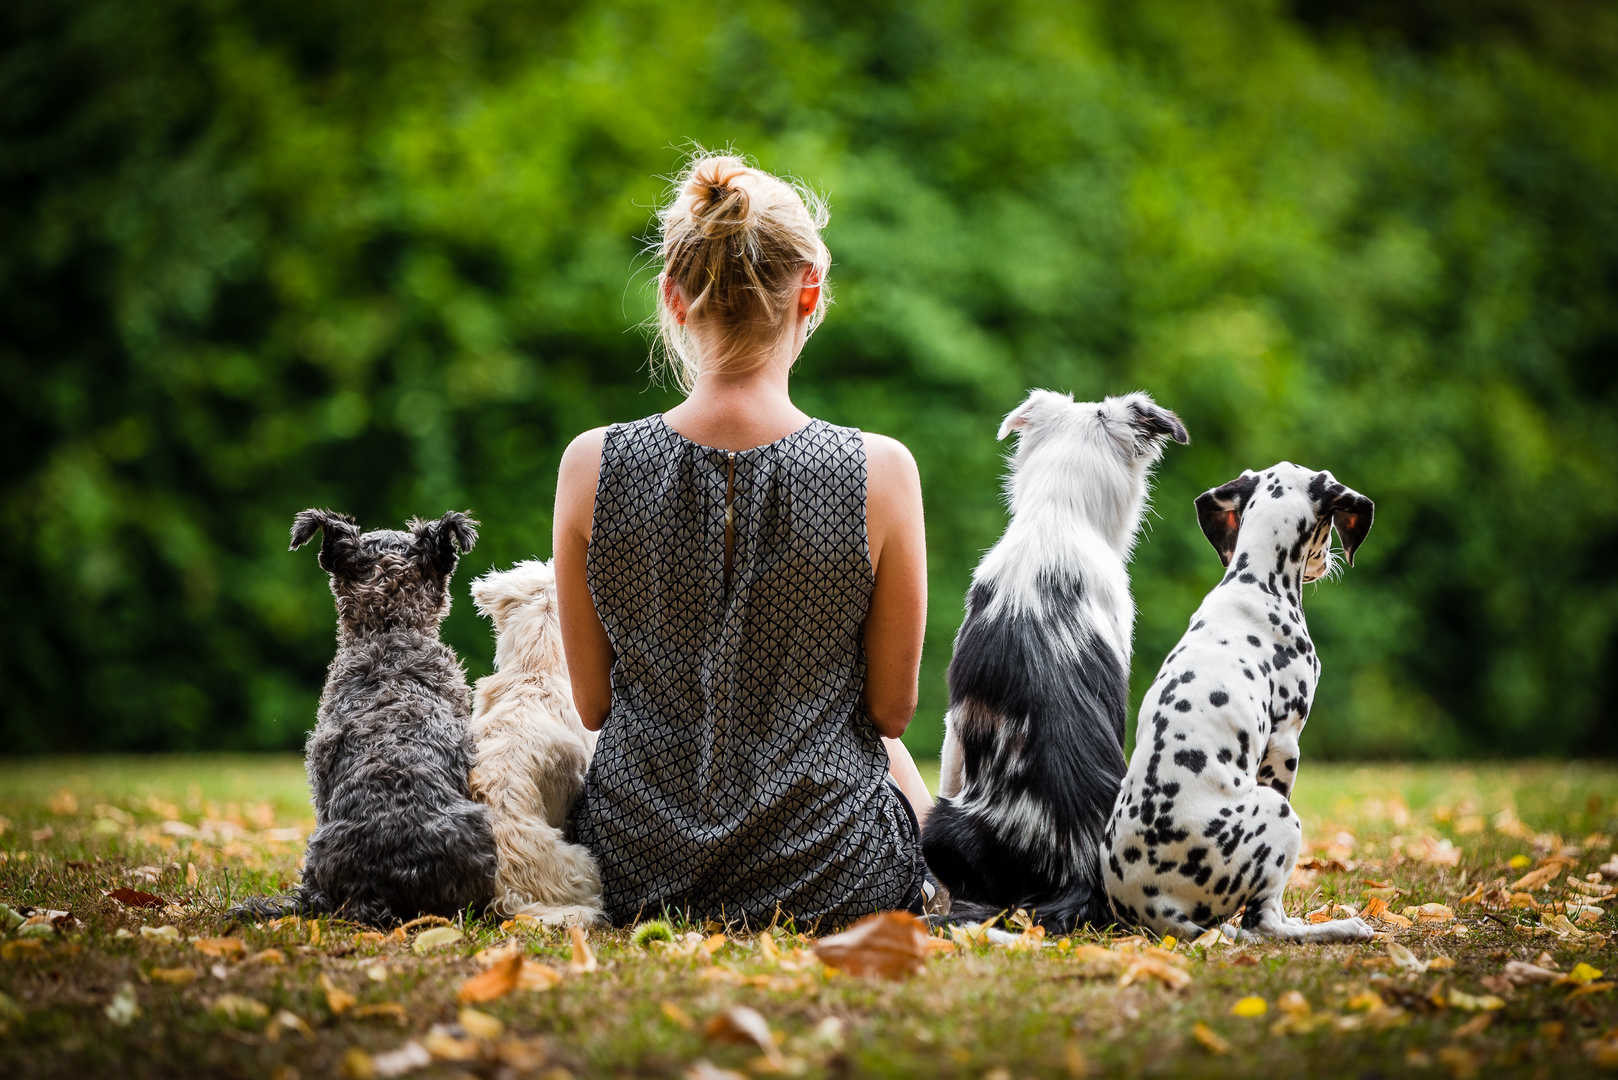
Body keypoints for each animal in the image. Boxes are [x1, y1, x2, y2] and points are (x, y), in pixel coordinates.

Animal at [1100, 459, 1378, 939]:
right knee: (1264, 924)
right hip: (1279, 812)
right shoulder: (1285, 744)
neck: (1257, 582)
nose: (1328, 563)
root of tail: (1155, 908)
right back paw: (1338, 927)